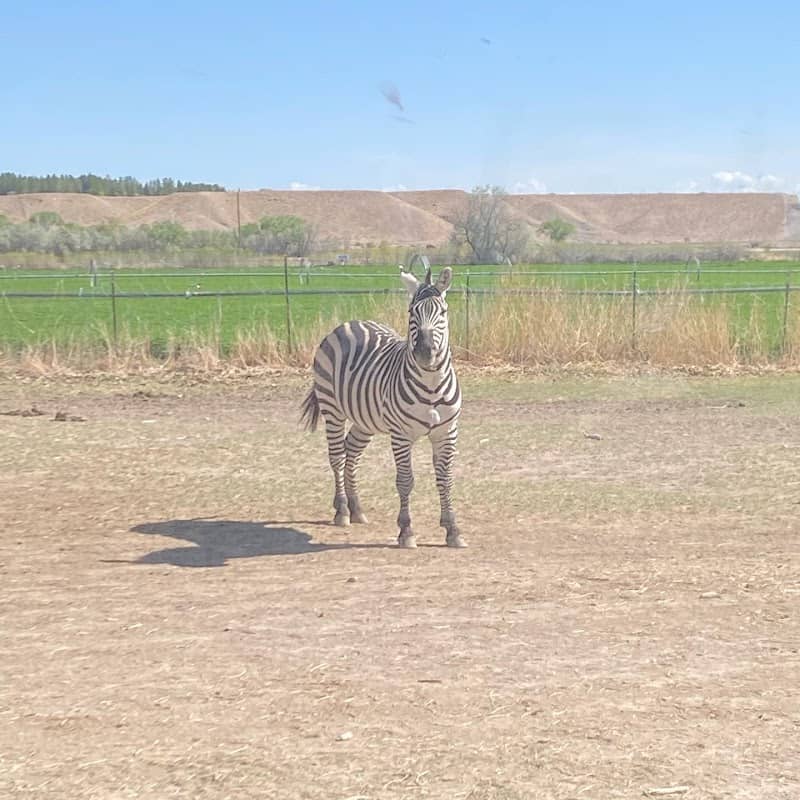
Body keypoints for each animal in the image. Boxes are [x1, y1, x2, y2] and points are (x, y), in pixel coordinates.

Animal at [300, 265, 465, 548]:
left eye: (443, 312)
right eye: (411, 312)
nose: (425, 352)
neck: (432, 385)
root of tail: (351, 322)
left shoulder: (447, 432)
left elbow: (445, 479)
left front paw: (452, 529)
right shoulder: (401, 435)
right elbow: (405, 481)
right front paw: (406, 531)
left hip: (365, 419)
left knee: (351, 452)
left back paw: (356, 508)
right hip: (332, 409)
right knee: (337, 456)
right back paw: (342, 510)